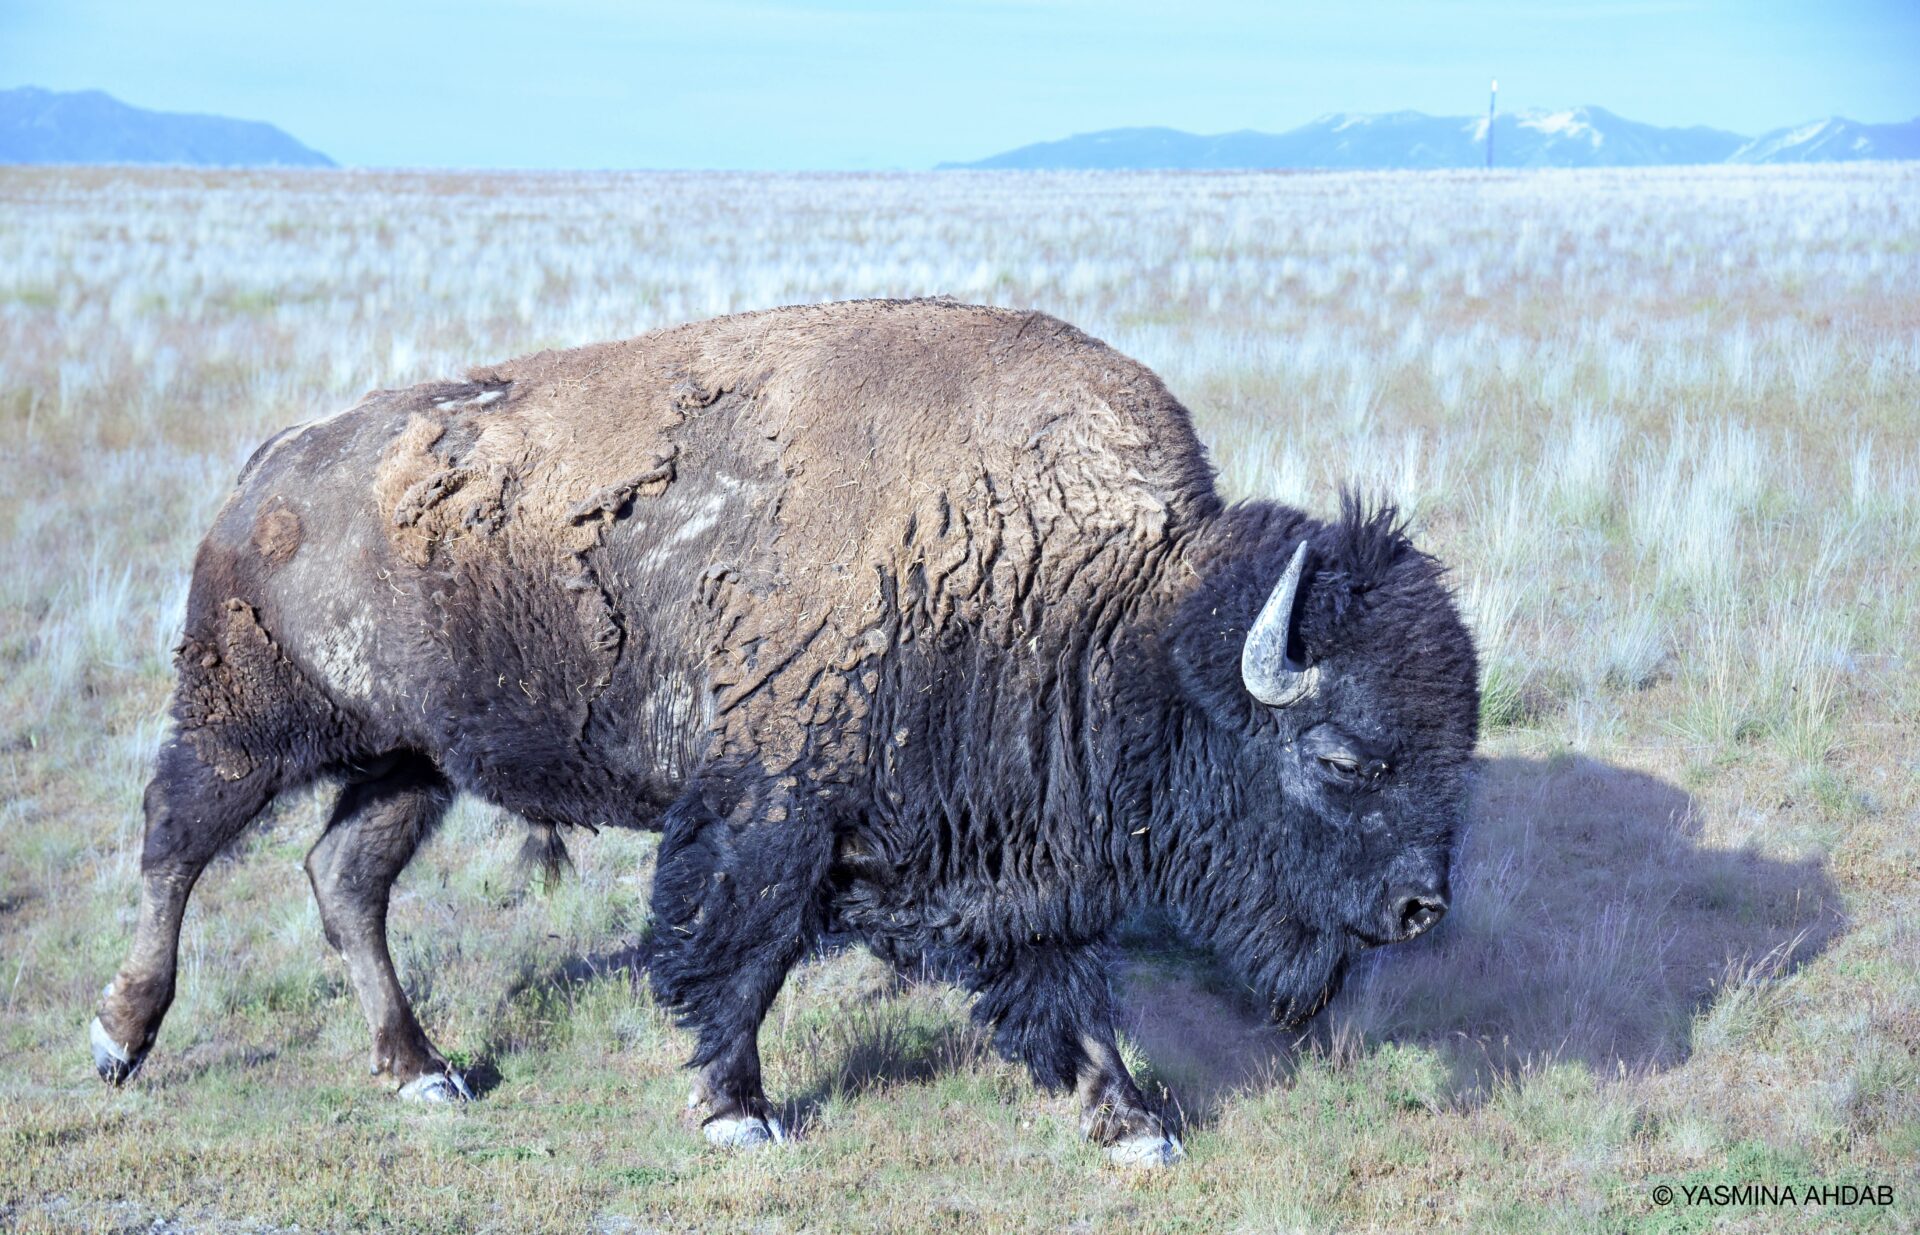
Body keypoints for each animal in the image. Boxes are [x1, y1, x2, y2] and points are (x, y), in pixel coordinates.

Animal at [91, 298, 1479, 1165]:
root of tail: (271, 463)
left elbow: (1061, 981)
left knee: (345, 878)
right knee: (175, 844)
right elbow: (737, 955)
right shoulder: (772, 813)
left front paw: (1133, 1119)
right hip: (252, 722)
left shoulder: (1019, 852)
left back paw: (423, 1068)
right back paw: (120, 1037)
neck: (1087, 600)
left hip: (411, 761)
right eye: (1343, 757)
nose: (1423, 908)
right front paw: (734, 1112)